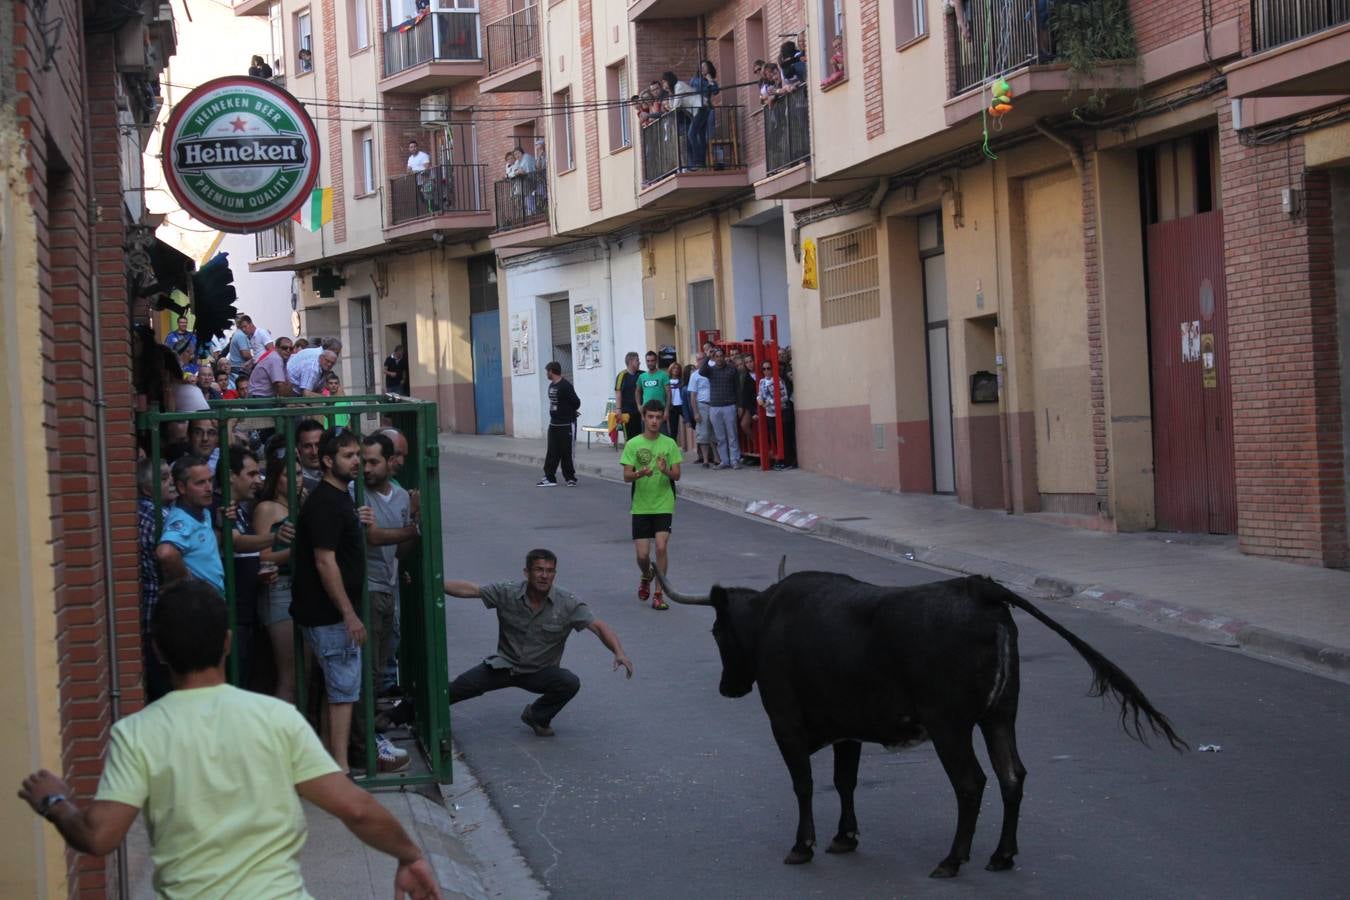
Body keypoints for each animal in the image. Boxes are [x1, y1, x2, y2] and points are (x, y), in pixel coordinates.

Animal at [653, 574, 1182, 874]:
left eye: (717, 630)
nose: (728, 688)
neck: (769, 617)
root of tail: (980, 588)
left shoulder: (785, 723)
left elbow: (804, 784)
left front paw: (803, 846)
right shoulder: (848, 730)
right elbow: (844, 781)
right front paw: (845, 838)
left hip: (949, 725)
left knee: (971, 783)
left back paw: (953, 860)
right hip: (999, 717)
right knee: (1012, 776)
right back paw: (1001, 856)